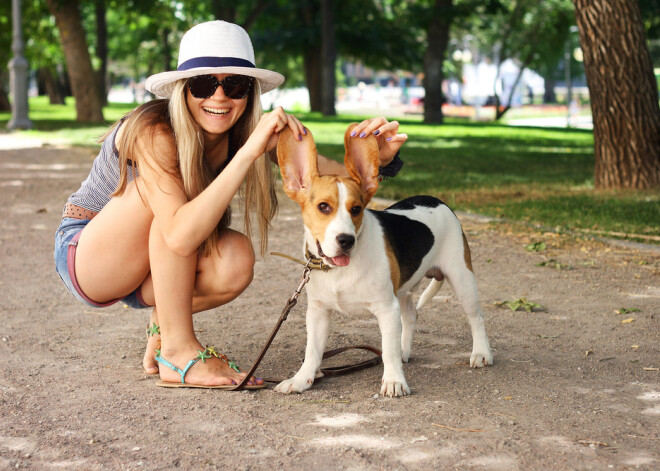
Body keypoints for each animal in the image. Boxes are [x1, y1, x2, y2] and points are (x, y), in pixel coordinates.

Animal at [272, 125, 490, 398]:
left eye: (356, 209)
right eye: (323, 207)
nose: (346, 240)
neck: (340, 270)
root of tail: (437, 200)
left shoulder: (386, 309)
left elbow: (388, 351)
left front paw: (394, 381)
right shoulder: (318, 312)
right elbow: (312, 351)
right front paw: (301, 379)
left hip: (461, 278)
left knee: (477, 318)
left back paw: (481, 354)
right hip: (404, 288)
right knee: (411, 316)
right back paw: (406, 351)